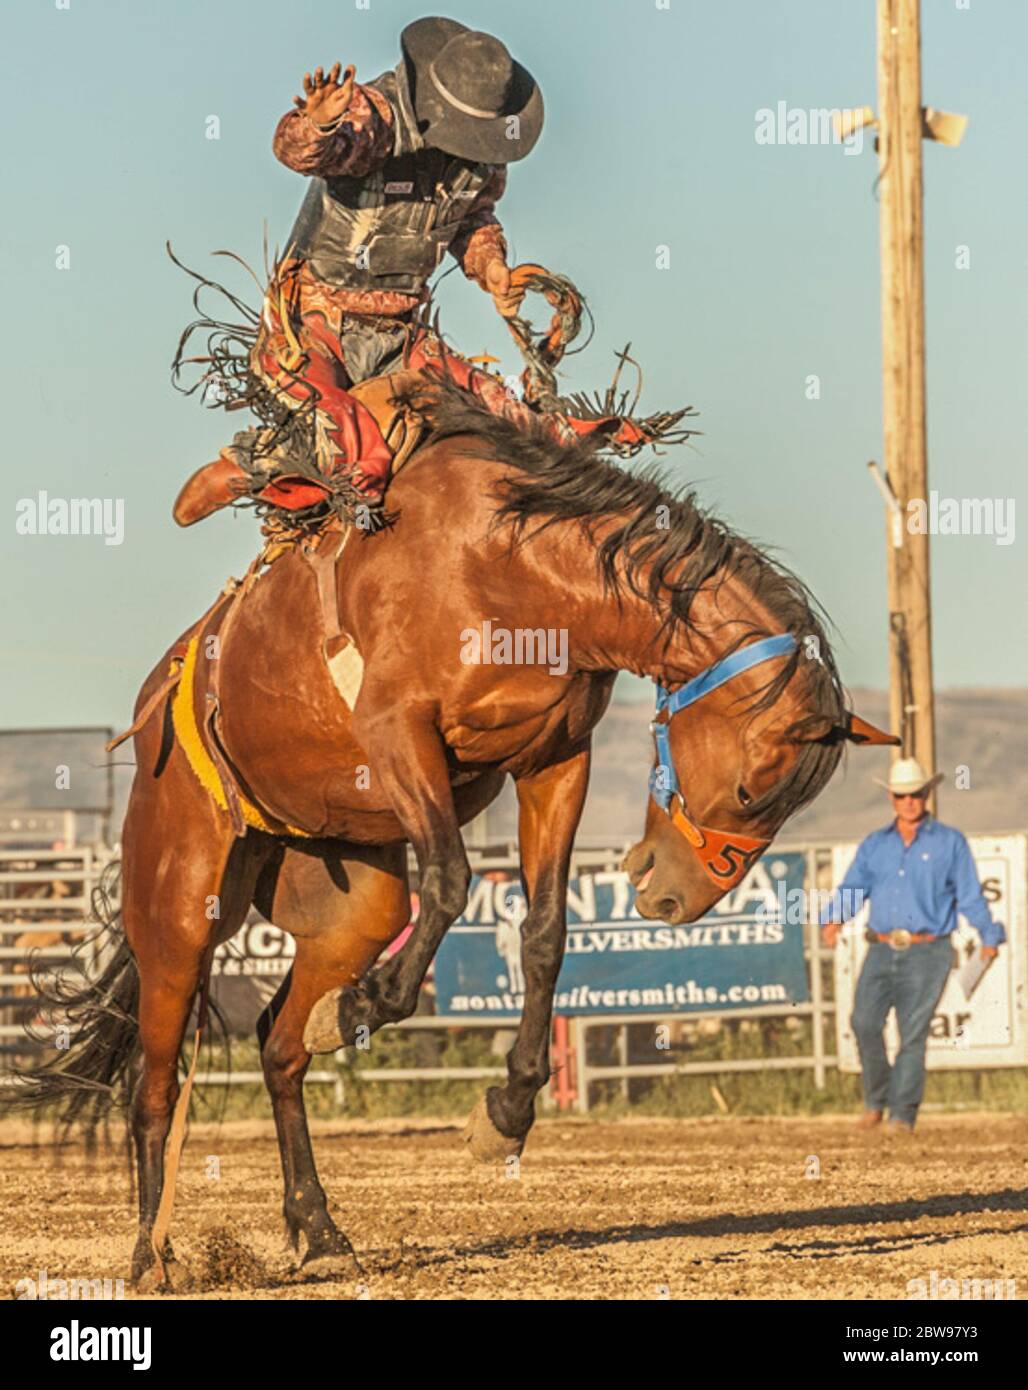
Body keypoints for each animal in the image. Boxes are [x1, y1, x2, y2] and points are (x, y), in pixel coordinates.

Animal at [8, 386, 894, 1284]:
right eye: (753, 789)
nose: (674, 898)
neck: (512, 568)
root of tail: (166, 689)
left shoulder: (556, 760)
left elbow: (545, 932)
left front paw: (504, 1111)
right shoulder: (401, 734)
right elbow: (453, 879)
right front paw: (368, 1006)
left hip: (350, 905)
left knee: (280, 1045)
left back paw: (317, 1226)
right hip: (182, 908)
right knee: (153, 1085)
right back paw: (152, 1256)